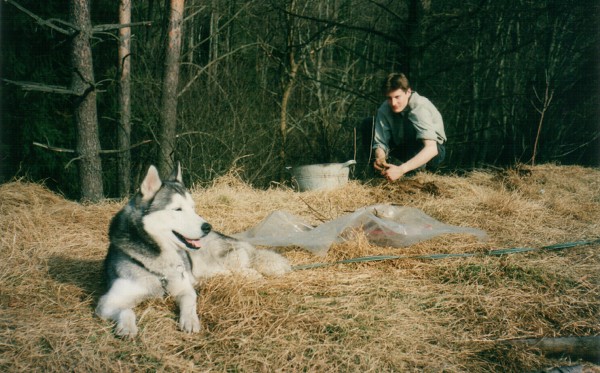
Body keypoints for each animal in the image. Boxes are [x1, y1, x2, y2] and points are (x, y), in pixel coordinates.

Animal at [96, 163, 290, 338]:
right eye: (178, 209)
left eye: (192, 208)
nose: (207, 227)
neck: (159, 264)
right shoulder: (106, 303)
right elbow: (126, 310)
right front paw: (127, 327)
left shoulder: (184, 288)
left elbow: (189, 303)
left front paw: (189, 320)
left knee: (239, 266)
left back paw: (251, 274)